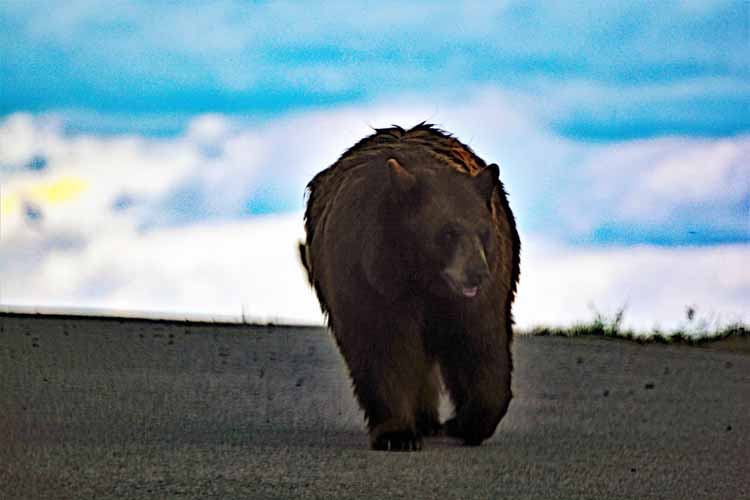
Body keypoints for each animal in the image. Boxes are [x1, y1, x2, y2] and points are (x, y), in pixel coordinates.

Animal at [300, 123, 520, 451]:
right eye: (447, 233)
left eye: (483, 232)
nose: (477, 273)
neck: (421, 278)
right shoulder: (371, 281)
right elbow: (383, 348)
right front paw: (397, 434)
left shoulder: (480, 297)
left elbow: (480, 345)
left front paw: (469, 423)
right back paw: (423, 419)